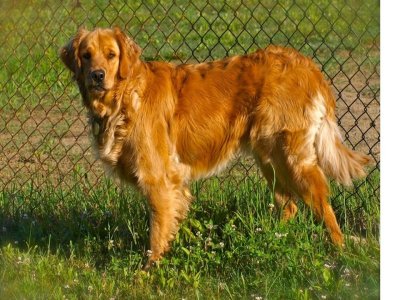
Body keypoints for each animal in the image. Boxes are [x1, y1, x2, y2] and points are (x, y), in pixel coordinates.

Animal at [60, 27, 372, 268]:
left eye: (111, 55)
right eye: (86, 55)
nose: (97, 75)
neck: (124, 97)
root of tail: (306, 63)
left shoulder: (158, 180)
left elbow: (157, 235)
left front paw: (148, 272)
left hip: (293, 158)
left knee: (323, 207)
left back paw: (339, 251)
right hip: (270, 159)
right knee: (290, 204)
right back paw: (273, 237)